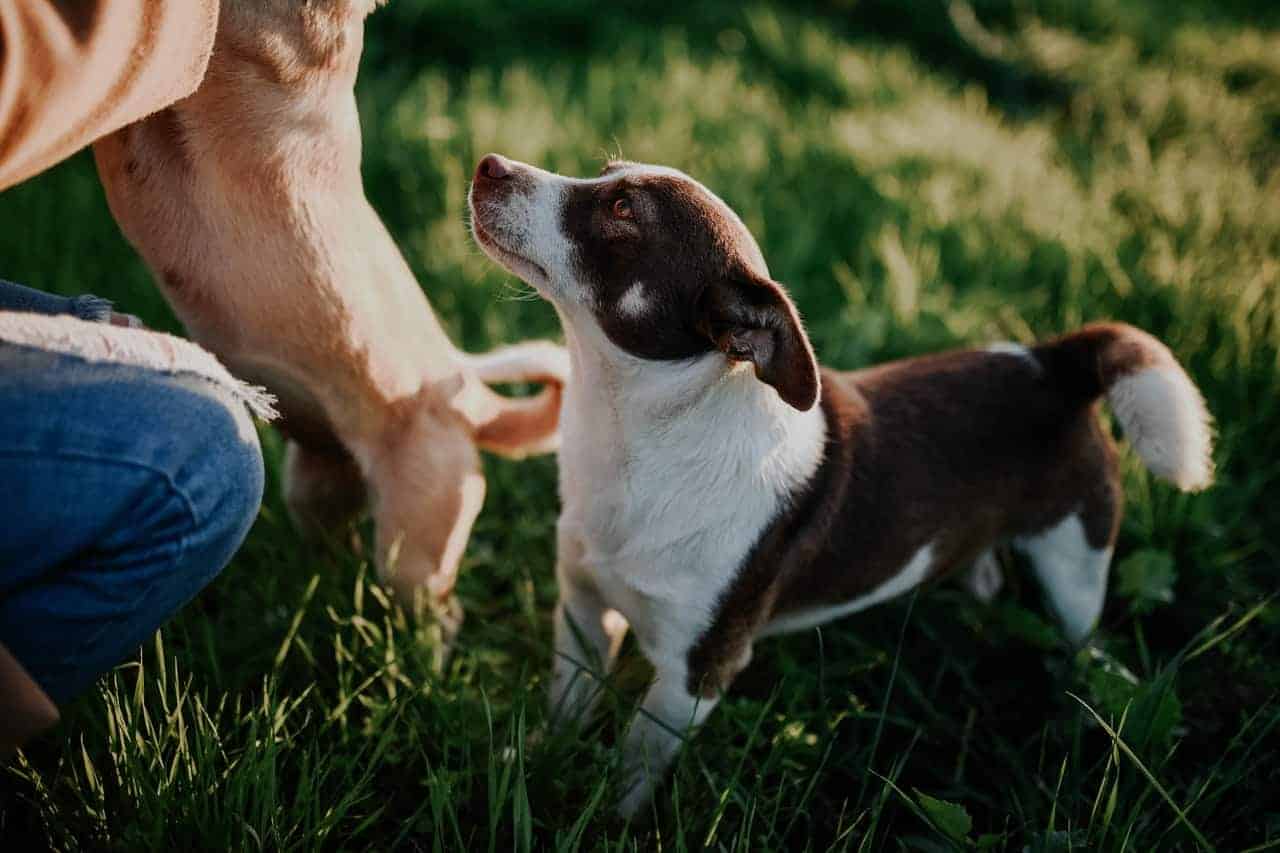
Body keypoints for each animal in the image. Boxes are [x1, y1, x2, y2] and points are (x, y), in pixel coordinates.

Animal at [471, 154, 1208, 819]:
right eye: (602, 173)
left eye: (623, 210)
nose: (489, 164)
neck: (634, 439)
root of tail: (1056, 362)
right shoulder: (584, 609)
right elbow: (566, 704)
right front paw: (538, 761)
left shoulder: (695, 674)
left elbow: (635, 763)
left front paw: (609, 819)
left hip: (1074, 564)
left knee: (1083, 639)